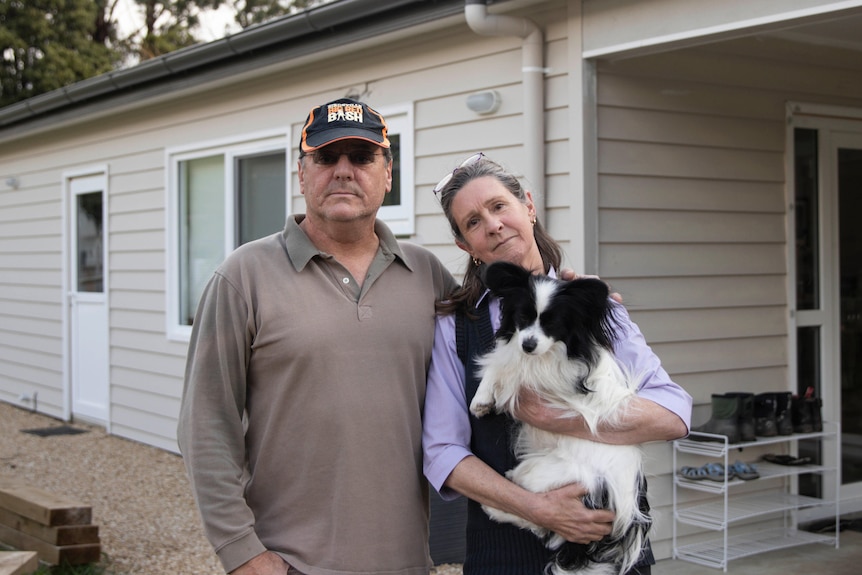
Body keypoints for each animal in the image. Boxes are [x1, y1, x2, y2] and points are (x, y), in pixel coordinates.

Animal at [472, 262, 648, 575]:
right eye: (522, 317)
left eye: (552, 324)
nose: (529, 345)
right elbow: (502, 361)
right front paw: (481, 399)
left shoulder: (548, 380)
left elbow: (509, 369)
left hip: (542, 475)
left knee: (537, 515)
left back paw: (494, 509)